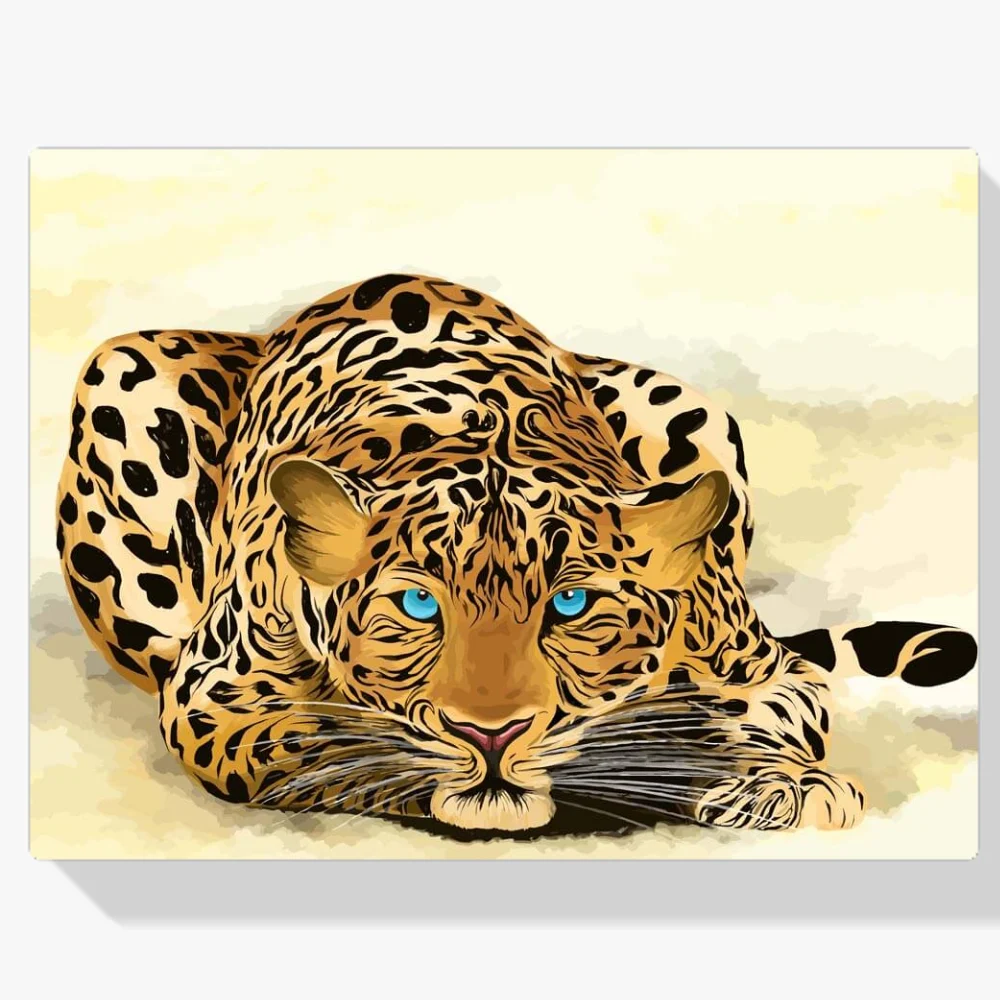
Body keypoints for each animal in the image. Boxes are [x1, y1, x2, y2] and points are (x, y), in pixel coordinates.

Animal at [56, 273, 978, 836]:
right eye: (417, 604)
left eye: (570, 605)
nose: (489, 735)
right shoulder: (211, 695)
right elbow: (310, 742)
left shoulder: (763, 668)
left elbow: (771, 710)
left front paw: (769, 778)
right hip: (120, 382)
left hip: (691, 409)